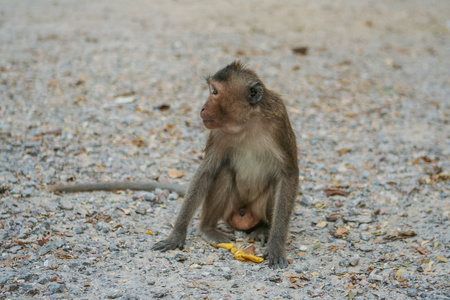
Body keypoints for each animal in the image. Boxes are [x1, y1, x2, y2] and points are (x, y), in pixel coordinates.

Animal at [50, 61, 298, 270]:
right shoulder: (219, 133)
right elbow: (206, 172)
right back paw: (207, 229)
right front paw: (177, 234)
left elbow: (288, 176)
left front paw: (276, 246)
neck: (247, 122)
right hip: (232, 208)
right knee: (223, 173)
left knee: (275, 183)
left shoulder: (278, 122)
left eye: (214, 92)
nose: (202, 109)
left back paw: (264, 227)